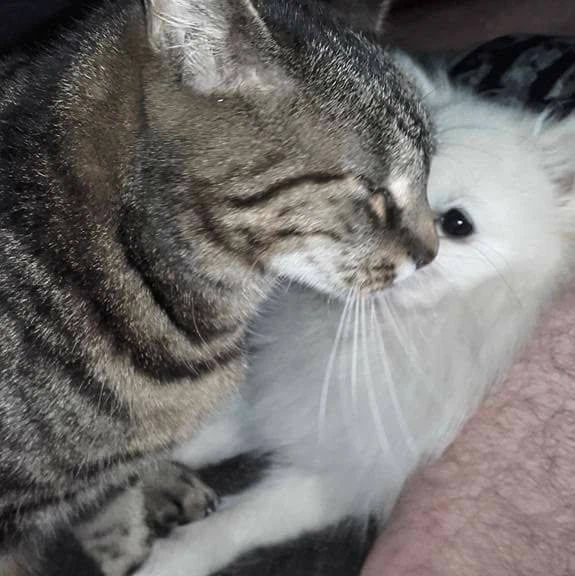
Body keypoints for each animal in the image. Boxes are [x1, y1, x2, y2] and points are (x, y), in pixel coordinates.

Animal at [136, 56, 575, 576]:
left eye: (457, 224)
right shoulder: (282, 405)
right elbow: (188, 434)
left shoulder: (334, 472)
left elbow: (230, 525)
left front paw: (166, 562)